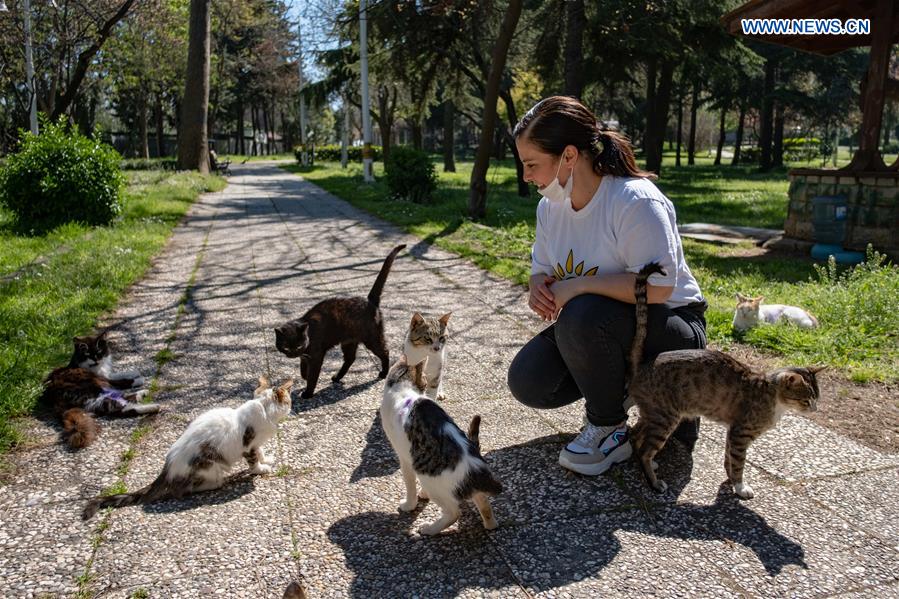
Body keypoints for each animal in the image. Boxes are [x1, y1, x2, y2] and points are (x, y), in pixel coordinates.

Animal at [83, 376, 290, 520]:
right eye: (289, 401)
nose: (290, 407)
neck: (263, 409)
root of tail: (167, 469)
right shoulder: (248, 445)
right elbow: (253, 460)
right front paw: (260, 469)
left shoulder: (257, 442)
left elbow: (261, 451)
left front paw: (266, 459)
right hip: (210, 464)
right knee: (186, 489)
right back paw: (218, 482)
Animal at [270, 244, 404, 398]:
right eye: (286, 347)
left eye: (297, 346)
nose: (292, 354)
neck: (309, 334)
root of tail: (370, 301)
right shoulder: (306, 355)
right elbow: (303, 368)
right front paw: (304, 376)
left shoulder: (316, 355)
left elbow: (313, 376)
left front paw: (308, 392)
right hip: (348, 342)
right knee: (350, 358)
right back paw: (337, 377)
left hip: (372, 339)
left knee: (385, 351)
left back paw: (383, 373)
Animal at [384, 356, 502, 536]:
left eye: (425, 381)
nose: (426, 388)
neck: (402, 390)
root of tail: (476, 470)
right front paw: (422, 495)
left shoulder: (405, 458)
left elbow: (410, 485)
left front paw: (409, 505)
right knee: (485, 505)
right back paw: (489, 524)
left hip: (430, 480)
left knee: (453, 513)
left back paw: (429, 529)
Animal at [628, 264, 828, 500]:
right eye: (806, 400)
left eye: (817, 398)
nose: (814, 409)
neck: (772, 396)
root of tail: (645, 363)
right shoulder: (741, 433)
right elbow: (739, 462)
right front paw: (740, 487)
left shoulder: (732, 431)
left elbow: (728, 458)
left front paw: (731, 480)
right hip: (666, 417)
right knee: (644, 449)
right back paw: (654, 481)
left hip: (653, 413)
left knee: (635, 435)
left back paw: (650, 462)